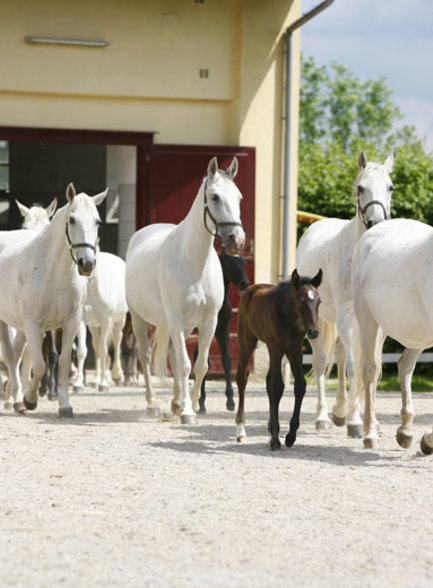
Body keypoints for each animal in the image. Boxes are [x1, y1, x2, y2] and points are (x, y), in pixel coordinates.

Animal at [0, 181, 106, 416]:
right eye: (72, 220)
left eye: (97, 221)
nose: (87, 264)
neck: (52, 271)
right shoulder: (33, 323)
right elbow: (40, 364)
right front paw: (30, 399)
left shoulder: (70, 322)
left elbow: (64, 362)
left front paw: (64, 405)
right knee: (11, 357)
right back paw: (16, 399)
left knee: (18, 355)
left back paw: (14, 397)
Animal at [73, 250, 127, 392]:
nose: (85, 266)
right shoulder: (82, 321)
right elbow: (82, 351)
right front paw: (78, 384)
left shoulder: (106, 321)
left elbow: (104, 351)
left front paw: (104, 384)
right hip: (93, 325)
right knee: (96, 345)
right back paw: (96, 380)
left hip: (120, 319)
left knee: (117, 340)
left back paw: (117, 375)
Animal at [125, 156, 245, 422]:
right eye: (214, 196)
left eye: (239, 197)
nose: (237, 240)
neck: (193, 262)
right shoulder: (177, 319)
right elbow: (185, 364)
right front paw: (189, 410)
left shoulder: (209, 322)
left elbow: (200, 366)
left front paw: (190, 405)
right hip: (140, 318)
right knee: (146, 356)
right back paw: (153, 403)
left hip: (179, 325)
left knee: (172, 354)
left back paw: (175, 402)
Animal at [296, 152, 394, 436]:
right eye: (360, 188)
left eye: (391, 187)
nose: (375, 223)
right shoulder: (348, 314)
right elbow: (354, 366)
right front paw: (355, 422)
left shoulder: (375, 324)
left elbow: (370, 366)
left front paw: (370, 421)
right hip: (323, 321)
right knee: (321, 362)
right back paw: (323, 417)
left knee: (338, 356)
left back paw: (339, 410)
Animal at [354, 218, 433, 452]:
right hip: (368, 321)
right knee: (369, 371)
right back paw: (370, 434)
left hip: (416, 333)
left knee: (404, 366)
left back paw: (406, 431)